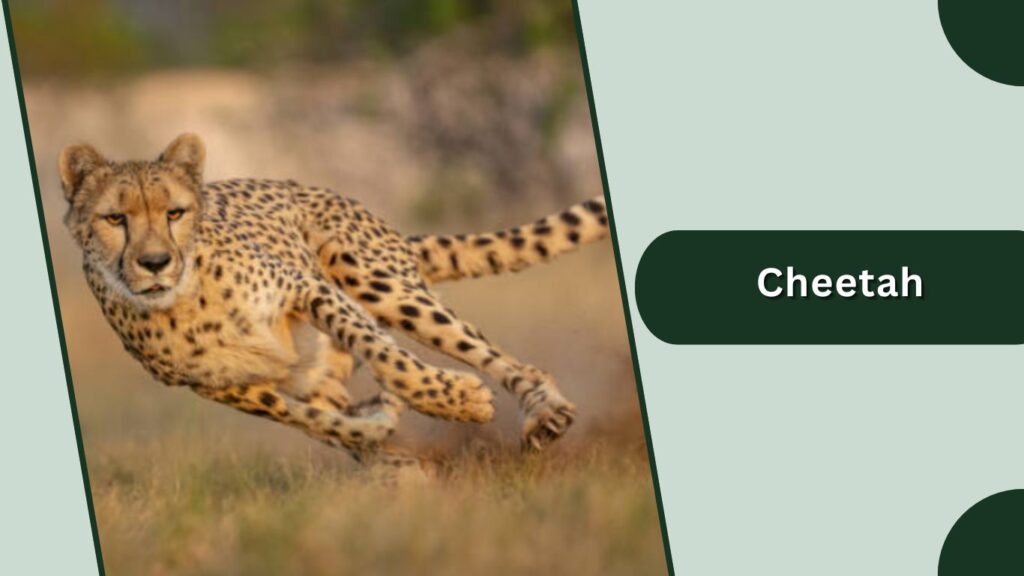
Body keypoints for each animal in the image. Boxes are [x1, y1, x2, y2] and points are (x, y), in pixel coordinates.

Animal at [58, 133, 611, 476]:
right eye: (115, 219)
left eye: (174, 212)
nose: (154, 262)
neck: (186, 301)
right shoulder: (225, 388)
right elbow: (313, 421)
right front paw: (383, 442)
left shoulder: (308, 288)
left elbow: (389, 358)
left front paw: (453, 400)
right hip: (314, 368)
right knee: (331, 402)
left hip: (374, 278)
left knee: (490, 354)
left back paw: (544, 410)